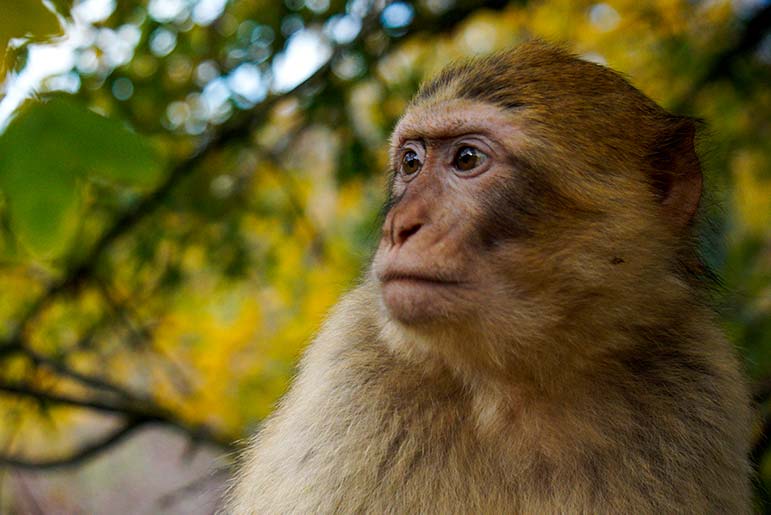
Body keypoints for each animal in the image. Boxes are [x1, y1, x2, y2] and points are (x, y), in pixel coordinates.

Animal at [225, 42, 752, 512]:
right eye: (411, 162)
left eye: (466, 159)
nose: (399, 227)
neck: (518, 386)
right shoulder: (348, 383)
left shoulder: (697, 395)